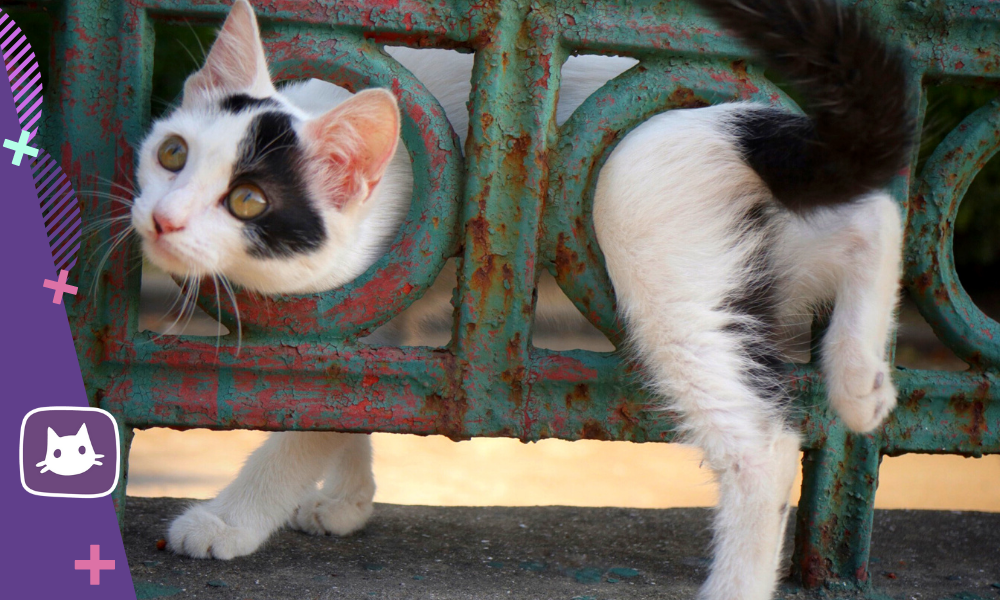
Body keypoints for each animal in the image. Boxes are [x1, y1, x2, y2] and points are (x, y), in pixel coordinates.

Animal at [129, 2, 916, 596]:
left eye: (248, 201)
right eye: (172, 154)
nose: (162, 220)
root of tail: (733, 126)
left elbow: (309, 417)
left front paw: (228, 521)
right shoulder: (376, 305)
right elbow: (348, 401)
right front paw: (348, 500)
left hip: (645, 228)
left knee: (763, 447)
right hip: (763, 247)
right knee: (875, 215)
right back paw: (861, 382)